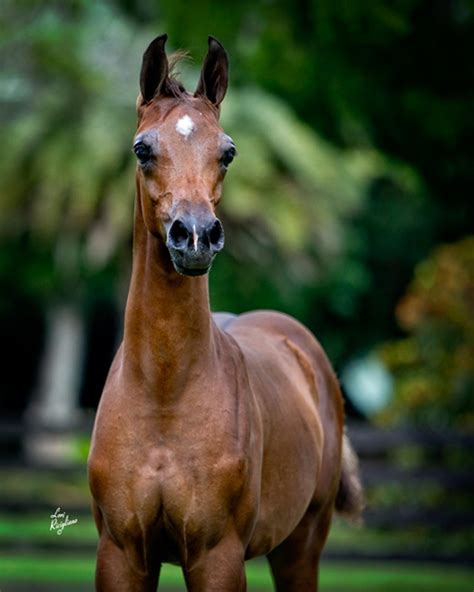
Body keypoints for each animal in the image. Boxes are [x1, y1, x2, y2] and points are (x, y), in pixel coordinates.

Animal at [88, 34, 362, 588]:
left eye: (228, 152)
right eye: (142, 148)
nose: (195, 236)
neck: (165, 396)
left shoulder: (217, 555)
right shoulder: (121, 554)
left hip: (301, 546)